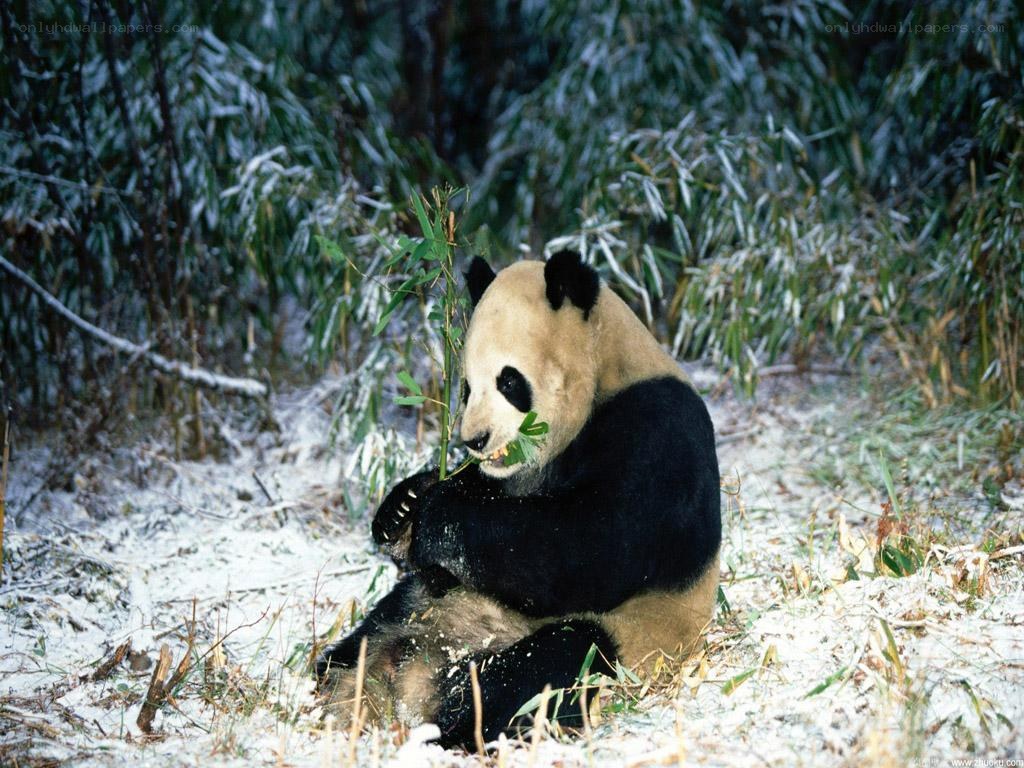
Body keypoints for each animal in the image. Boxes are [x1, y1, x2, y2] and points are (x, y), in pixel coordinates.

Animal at [315, 250, 721, 748]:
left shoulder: (657, 433)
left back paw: (457, 733)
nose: (474, 439)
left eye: (509, 382)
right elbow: (477, 505)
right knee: (368, 634)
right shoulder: (506, 478)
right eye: (466, 388)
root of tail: (421, 680)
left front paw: (435, 515)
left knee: (548, 666)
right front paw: (403, 508)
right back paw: (337, 684)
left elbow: (594, 549)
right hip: (419, 605)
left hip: (625, 640)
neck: (606, 373)